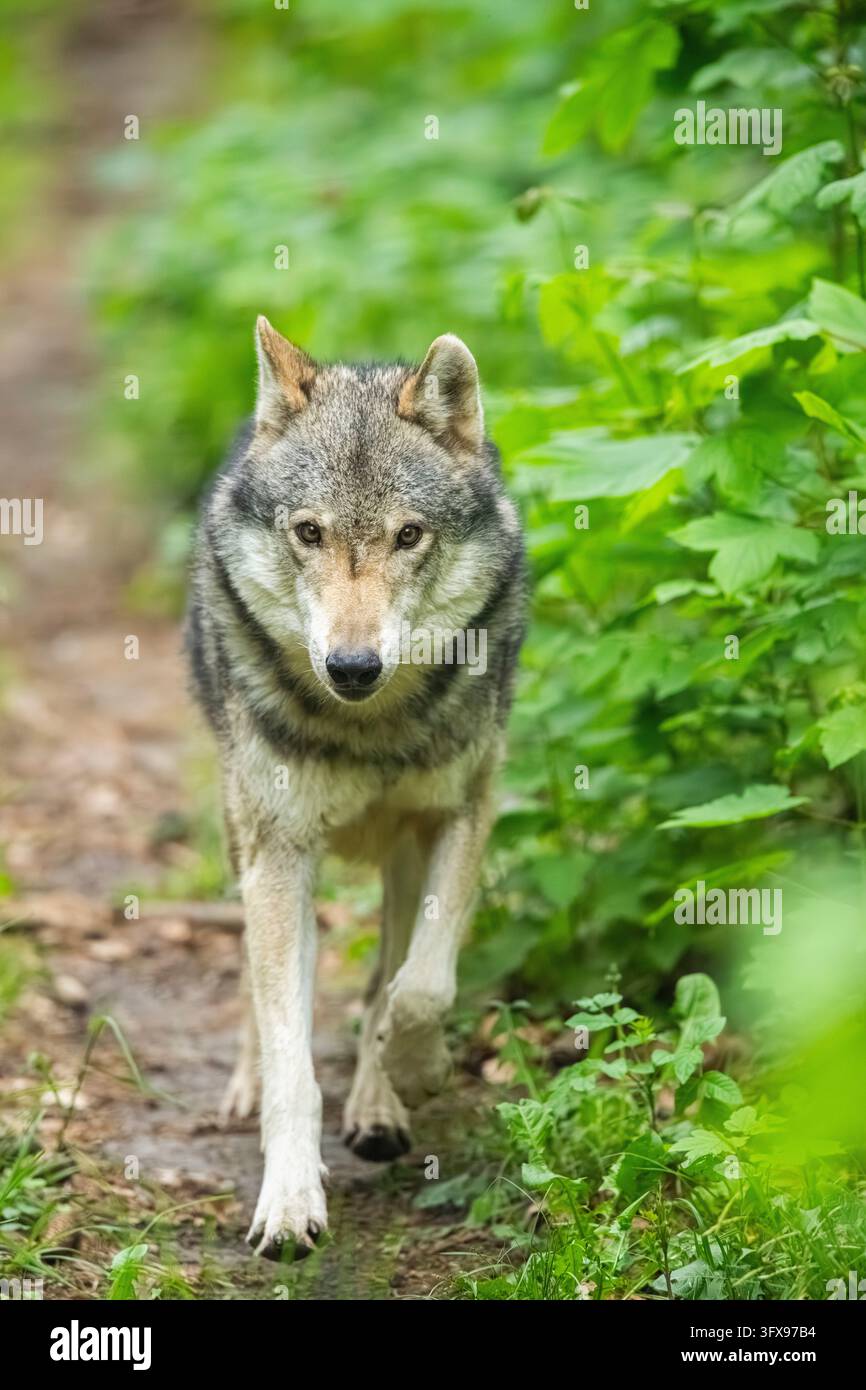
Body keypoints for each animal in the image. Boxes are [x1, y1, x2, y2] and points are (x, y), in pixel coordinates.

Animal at [186, 318, 526, 1258]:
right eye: (308, 532)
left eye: (410, 536)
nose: (352, 667)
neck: (369, 730)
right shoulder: (280, 854)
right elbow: (292, 1058)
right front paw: (289, 1201)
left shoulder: (462, 814)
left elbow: (418, 989)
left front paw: (420, 1069)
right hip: (244, 835)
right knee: (258, 992)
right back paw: (244, 1084)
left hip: (402, 858)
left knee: (385, 976)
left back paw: (379, 1105)